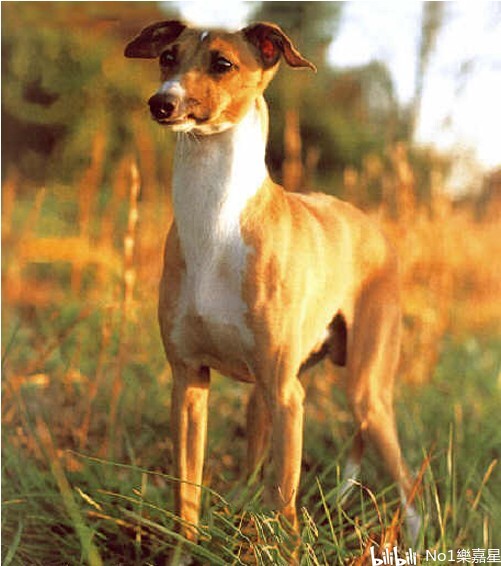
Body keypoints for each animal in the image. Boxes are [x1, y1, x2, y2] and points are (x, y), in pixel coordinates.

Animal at [124, 21, 418, 556]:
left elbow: (284, 497)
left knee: (409, 485)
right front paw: (184, 551)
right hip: (263, 394)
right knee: (253, 466)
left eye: (222, 63)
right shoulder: (188, 382)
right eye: (167, 57)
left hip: (365, 393)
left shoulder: (288, 397)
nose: (161, 103)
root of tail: (372, 226)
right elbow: (186, 493)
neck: (216, 227)